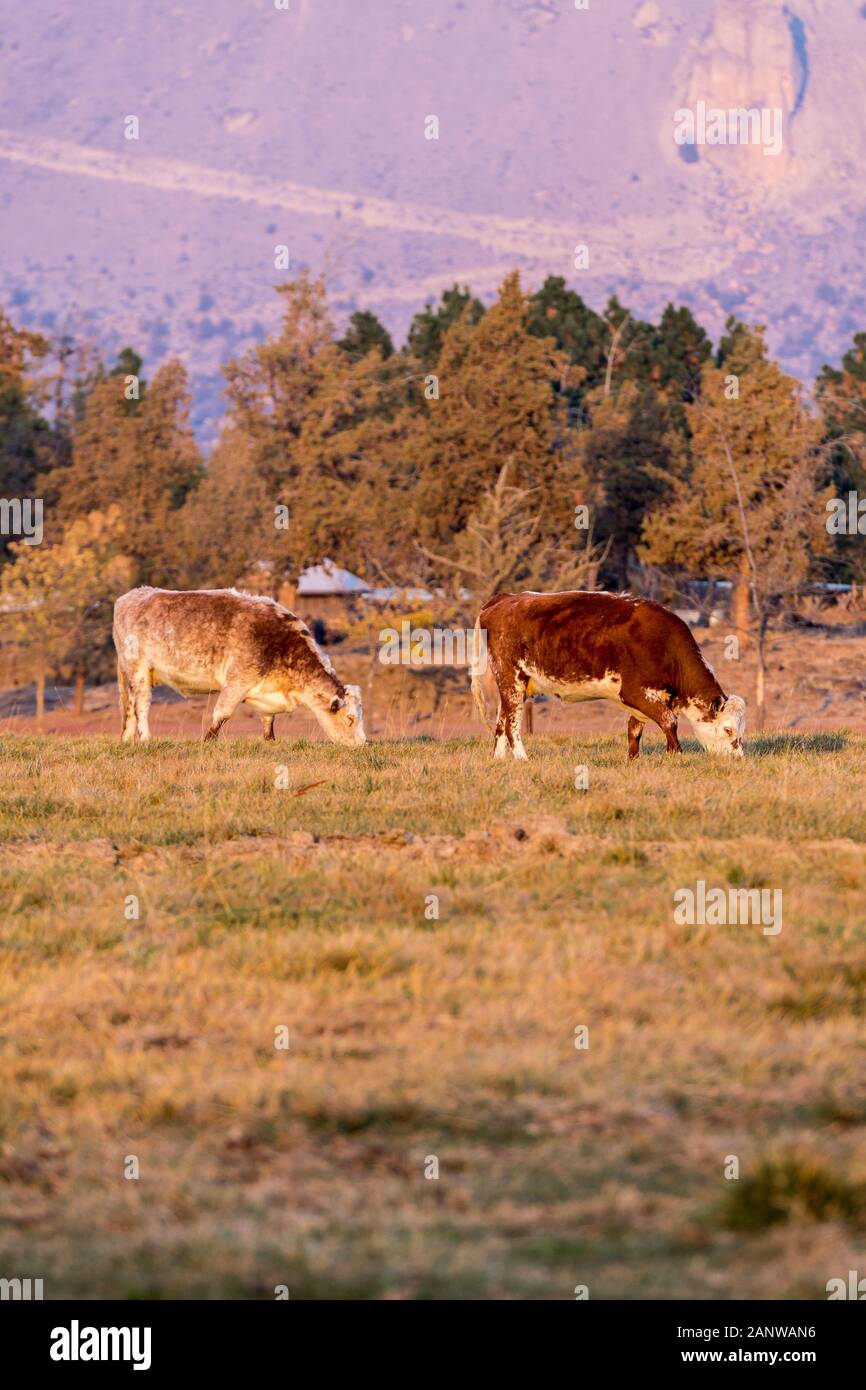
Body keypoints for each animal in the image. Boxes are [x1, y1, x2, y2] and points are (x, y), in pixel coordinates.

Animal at [112, 583, 366, 745]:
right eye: (350, 718)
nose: (364, 743)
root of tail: (132, 595)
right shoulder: (237, 682)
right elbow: (221, 714)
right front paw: (207, 741)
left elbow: (268, 719)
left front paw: (270, 742)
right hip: (139, 671)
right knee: (141, 705)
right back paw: (145, 739)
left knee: (130, 708)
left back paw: (127, 740)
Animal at [469, 586, 750, 761]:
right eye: (728, 730)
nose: (738, 759)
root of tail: (505, 599)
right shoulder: (634, 691)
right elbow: (669, 720)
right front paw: (675, 753)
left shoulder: (644, 699)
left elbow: (634, 729)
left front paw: (633, 759)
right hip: (511, 679)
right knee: (512, 725)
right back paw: (522, 758)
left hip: (515, 685)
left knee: (502, 721)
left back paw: (499, 759)